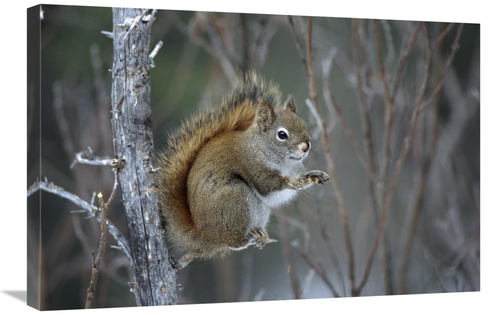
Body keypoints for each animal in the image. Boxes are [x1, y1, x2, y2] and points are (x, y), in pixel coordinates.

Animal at [156, 72, 328, 272]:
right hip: (235, 198)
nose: (306, 147)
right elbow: (267, 186)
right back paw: (246, 239)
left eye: (304, 125)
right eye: (282, 134)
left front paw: (315, 175)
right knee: (231, 242)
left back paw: (260, 234)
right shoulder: (252, 165)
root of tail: (204, 237)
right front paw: (288, 181)